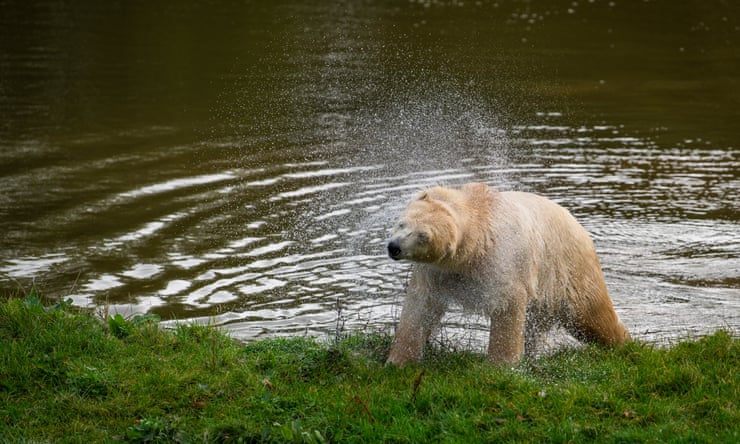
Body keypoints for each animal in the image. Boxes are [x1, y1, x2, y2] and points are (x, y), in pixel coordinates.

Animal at [385, 182, 631, 366]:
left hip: (566, 267)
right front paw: (398, 361)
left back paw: (625, 344)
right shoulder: (437, 271)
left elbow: (507, 305)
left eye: (422, 236)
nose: (393, 247)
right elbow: (421, 306)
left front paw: (499, 366)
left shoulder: (501, 260)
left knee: (589, 313)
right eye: (402, 224)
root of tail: (581, 228)